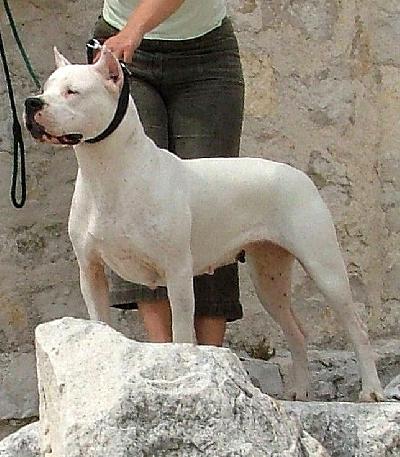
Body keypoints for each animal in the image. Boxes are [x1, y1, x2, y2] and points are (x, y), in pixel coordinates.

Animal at [24, 46, 384, 401]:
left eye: (73, 92)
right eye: (45, 88)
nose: (32, 103)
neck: (107, 171)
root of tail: (298, 174)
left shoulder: (177, 272)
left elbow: (183, 332)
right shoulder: (91, 270)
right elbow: (100, 321)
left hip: (325, 268)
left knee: (357, 327)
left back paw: (372, 390)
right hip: (269, 276)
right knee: (296, 330)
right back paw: (299, 391)